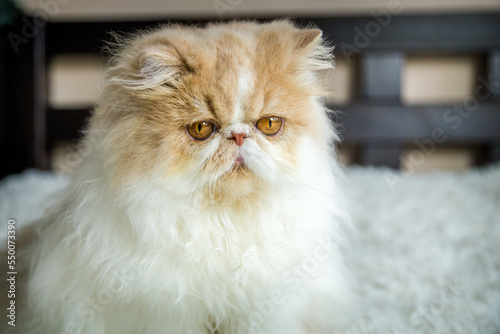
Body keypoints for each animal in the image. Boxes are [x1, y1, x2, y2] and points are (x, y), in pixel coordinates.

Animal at [5, 19, 354, 332]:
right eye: (201, 128)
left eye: (269, 124)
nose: (239, 136)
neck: (224, 220)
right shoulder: (169, 312)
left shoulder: (265, 306)